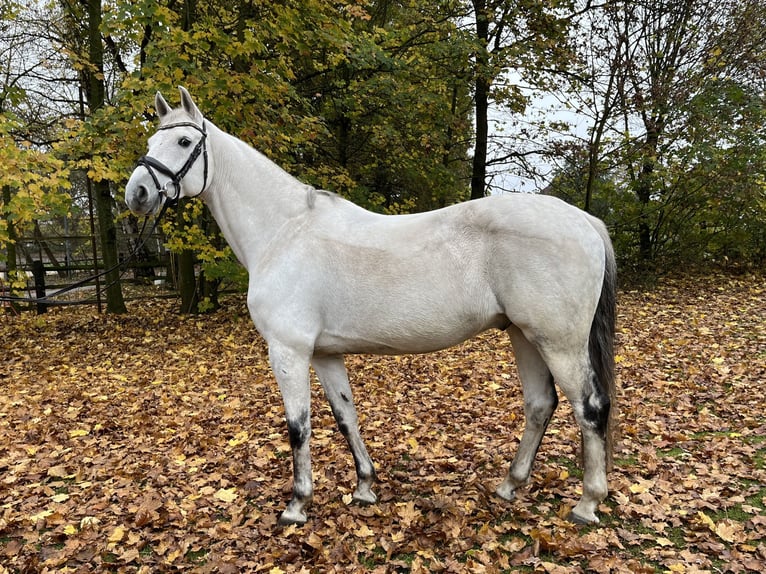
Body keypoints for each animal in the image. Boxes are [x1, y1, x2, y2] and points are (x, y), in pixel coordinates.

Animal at [126, 88, 616, 528]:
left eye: (184, 142)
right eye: (149, 141)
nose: (137, 194)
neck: (285, 231)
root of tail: (583, 220)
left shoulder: (288, 351)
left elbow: (298, 425)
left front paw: (296, 505)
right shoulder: (325, 354)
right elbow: (346, 416)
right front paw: (364, 486)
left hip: (559, 342)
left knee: (589, 407)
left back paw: (587, 503)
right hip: (523, 335)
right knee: (540, 404)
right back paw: (510, 485)